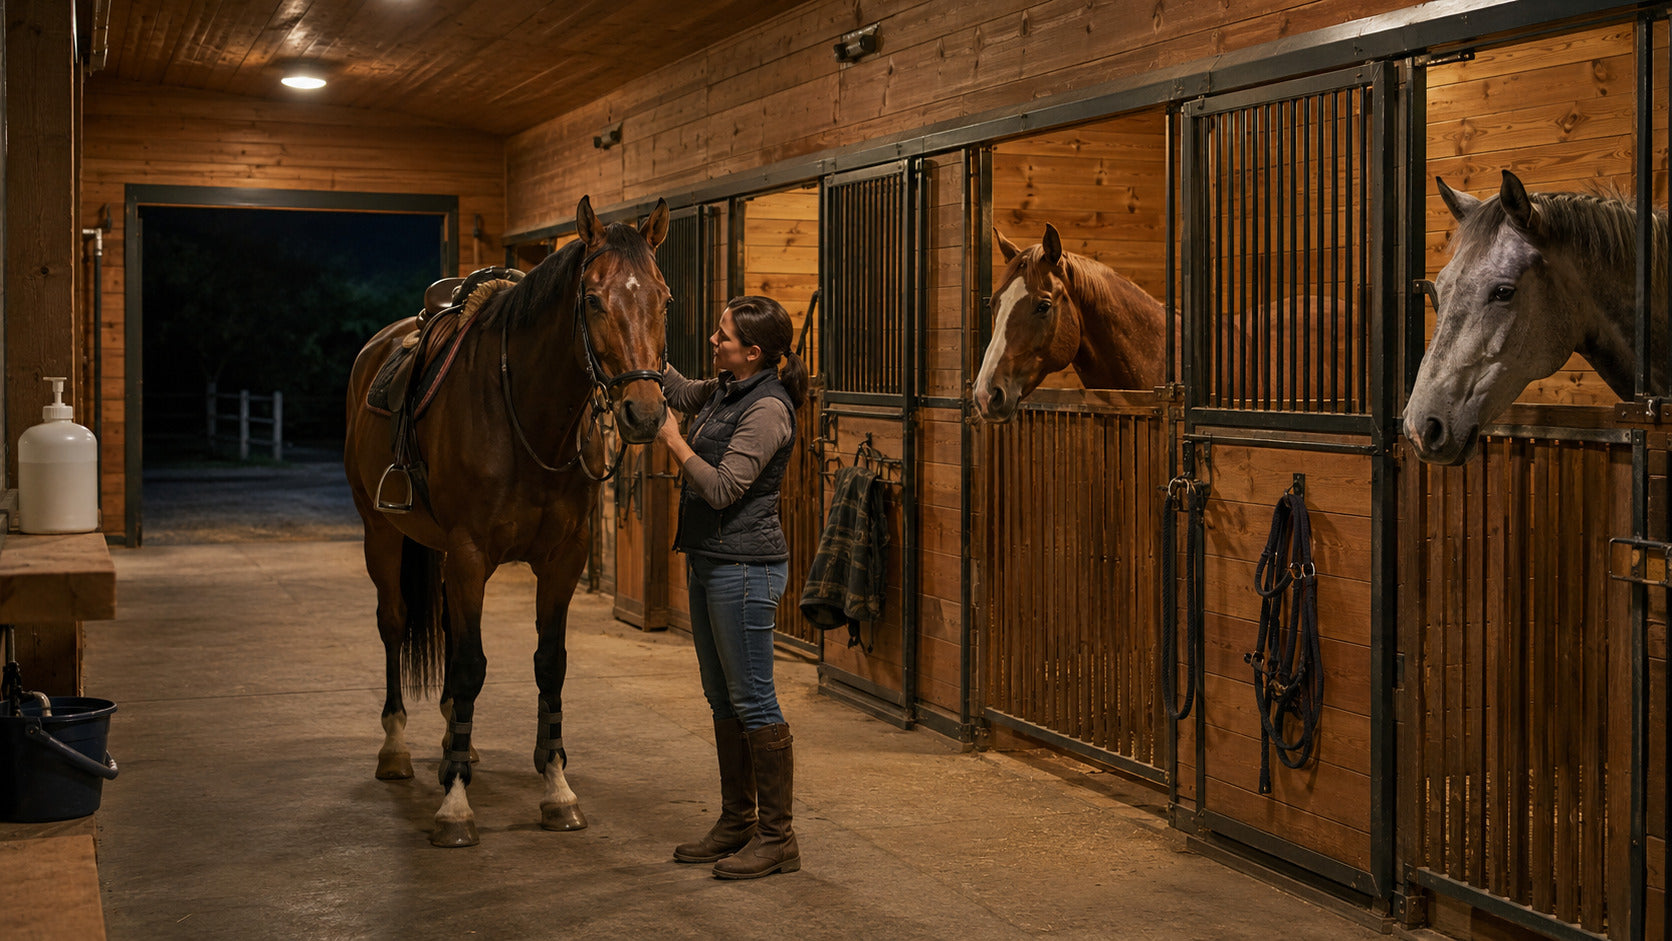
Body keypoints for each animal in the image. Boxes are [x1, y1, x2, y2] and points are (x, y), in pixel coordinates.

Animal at [344, 195, 670, 847]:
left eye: (664, 298)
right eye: (592, 299)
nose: (644, 415)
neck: (528, 417)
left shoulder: (564, 559)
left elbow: (550, 663)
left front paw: (557, 788)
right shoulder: (471, 553)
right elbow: (472, 664)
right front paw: (455, 807)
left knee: (447, 629)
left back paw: (456, 741)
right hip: (381, 533)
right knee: (394, 624)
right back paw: (396, 750)